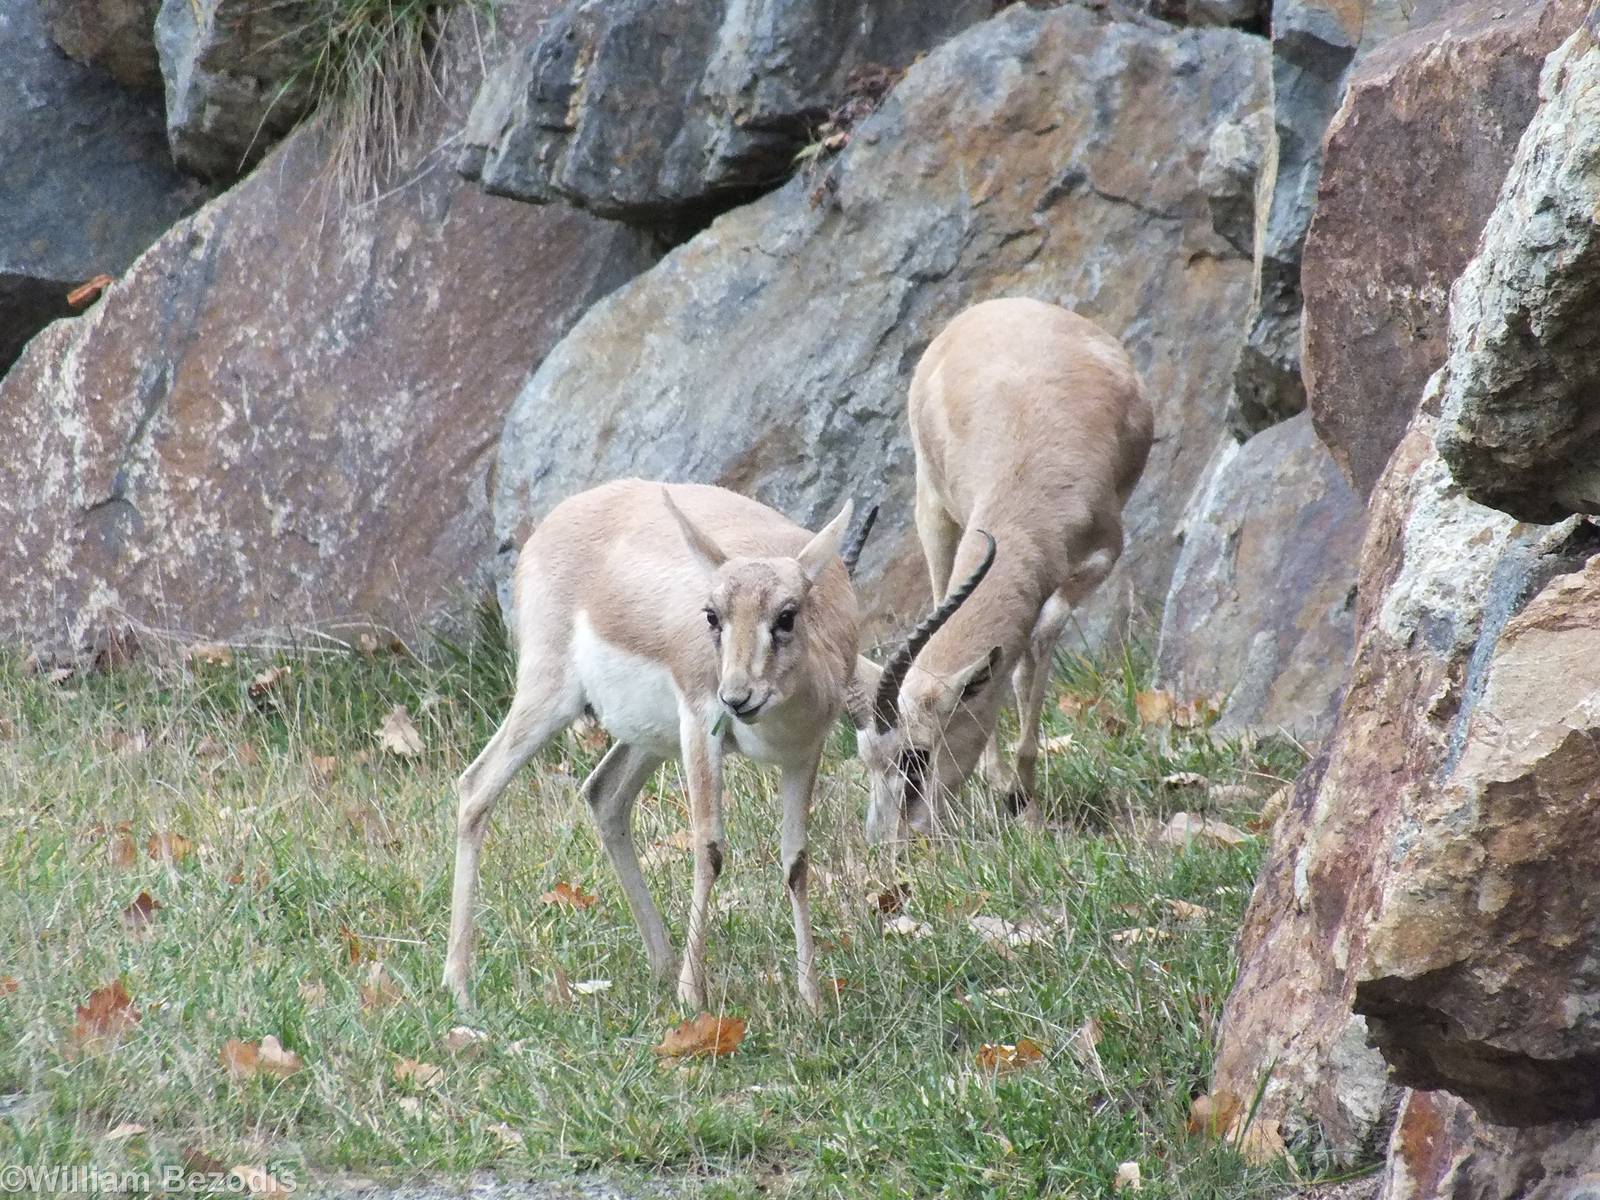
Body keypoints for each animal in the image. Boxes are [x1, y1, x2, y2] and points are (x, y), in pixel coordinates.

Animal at [443, 480, 862, 1013]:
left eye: (786, 616)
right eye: (712, 615)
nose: (736, 697)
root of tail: (557, 519)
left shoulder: (804, 753)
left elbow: (797, 861)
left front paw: (812, 1000)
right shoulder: (700, 725)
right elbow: (708, 848)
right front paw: (692, 996)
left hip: (648, 739)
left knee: (603, 794)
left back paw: (662, 964)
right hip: (551, 696)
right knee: (477, 786)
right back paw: (459, 986)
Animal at [855, 297, 1153, 841]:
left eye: (915, 757)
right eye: (867, 759)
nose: (887, 842)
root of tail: (1001, 305)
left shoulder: (1103, 555)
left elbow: (1042, 632)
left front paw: (1024, 798)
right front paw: (1009, 788)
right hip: (934, 513)